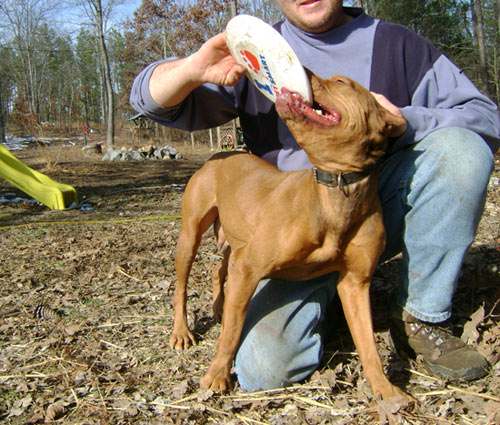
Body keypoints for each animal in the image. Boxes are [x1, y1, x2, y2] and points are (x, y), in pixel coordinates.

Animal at [170, 74, 412, 402]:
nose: (306, 71)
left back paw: (219, 306)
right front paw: (217, 374)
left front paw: (386, 390)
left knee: (217, 270)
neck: (335, 192)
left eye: (341, 82)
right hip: (191, 235)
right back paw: (182, 332)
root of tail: (221, 153)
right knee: (182, 285)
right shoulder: (248, 268)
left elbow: (368, 345)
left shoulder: (355, 283)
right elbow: (232, 331)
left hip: (235, 242)